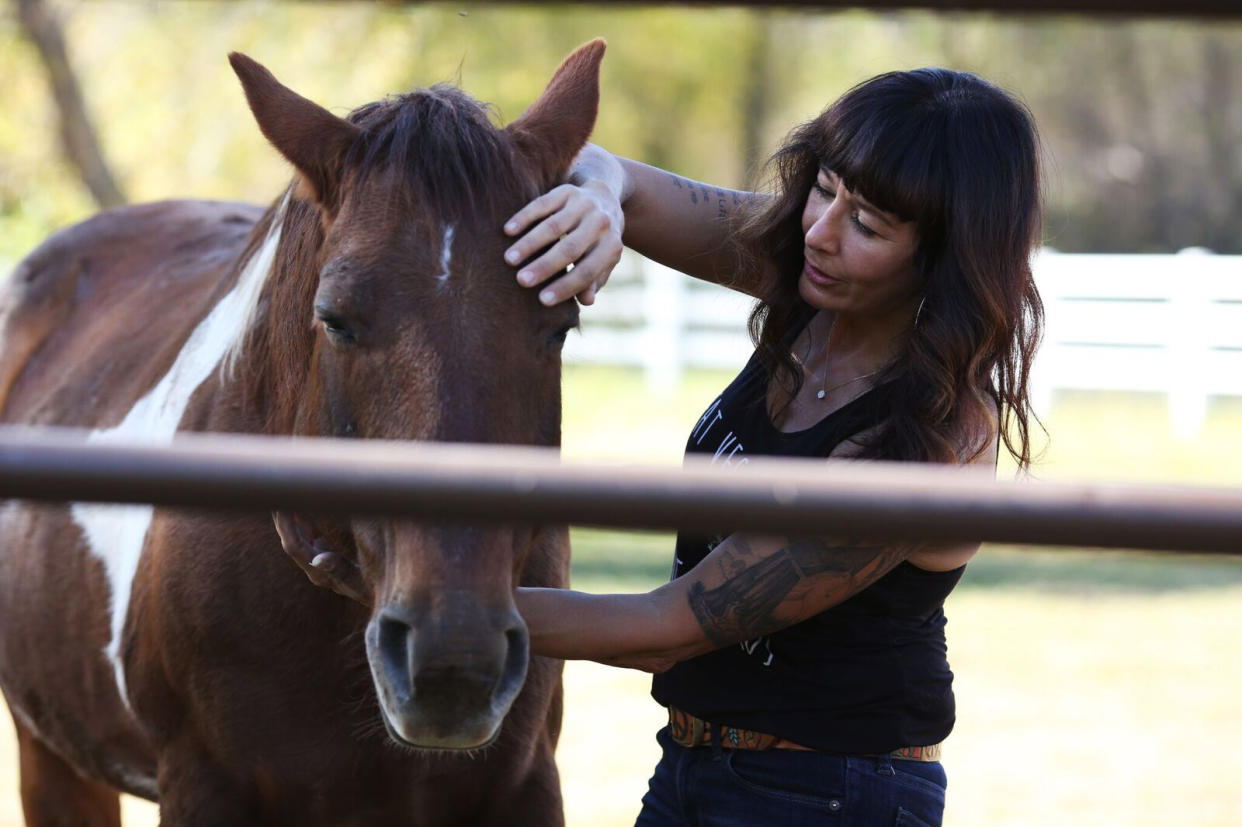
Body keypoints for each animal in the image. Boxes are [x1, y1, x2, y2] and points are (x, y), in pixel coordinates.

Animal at [0, 40, 606, 824]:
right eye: (335, 318)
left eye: (558, 328)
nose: (452, 660)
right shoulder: (201, 786)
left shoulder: (525, 785)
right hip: (51, 756)